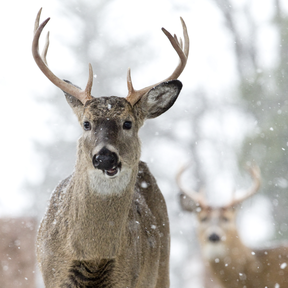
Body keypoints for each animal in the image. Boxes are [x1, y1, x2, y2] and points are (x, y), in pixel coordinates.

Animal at [32, 7, 189, 288]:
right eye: (86, 123)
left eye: (128, 123)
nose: (105, 157)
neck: (93, 256)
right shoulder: (52, 275)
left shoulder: (128, 277)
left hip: (162, 268)